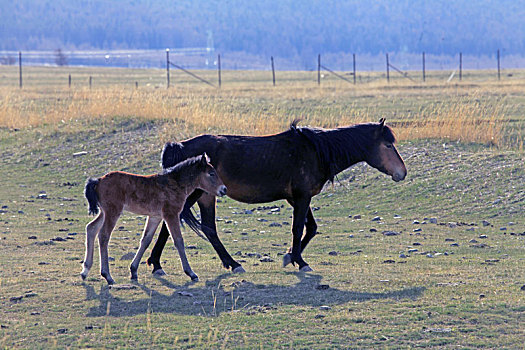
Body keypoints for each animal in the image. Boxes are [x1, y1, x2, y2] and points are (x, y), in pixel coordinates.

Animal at [80, 153, 225, 284]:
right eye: (211, 173)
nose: (224, 189)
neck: (175, 184)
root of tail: (98, 180)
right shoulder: (171, 214)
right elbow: (178, 241)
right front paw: (191, 273)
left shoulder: (155, 216)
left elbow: (146, 240)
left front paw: (133, 271)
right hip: (112, 211)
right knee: (103, 235)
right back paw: (107, 276)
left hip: (104, 212)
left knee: (91, 228)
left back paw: (85, 271)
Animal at [146, 119, 406, 274]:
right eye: (388, 145)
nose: (402, 172)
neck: (315, 151)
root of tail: (179, 146)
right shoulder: (302, 198)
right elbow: (298, 228)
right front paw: (300, 261)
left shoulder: (299, 198)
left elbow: (311, 228)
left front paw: (289, 257)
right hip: (196, 194)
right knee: (174, 223)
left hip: (206, 197)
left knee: (206, 228)